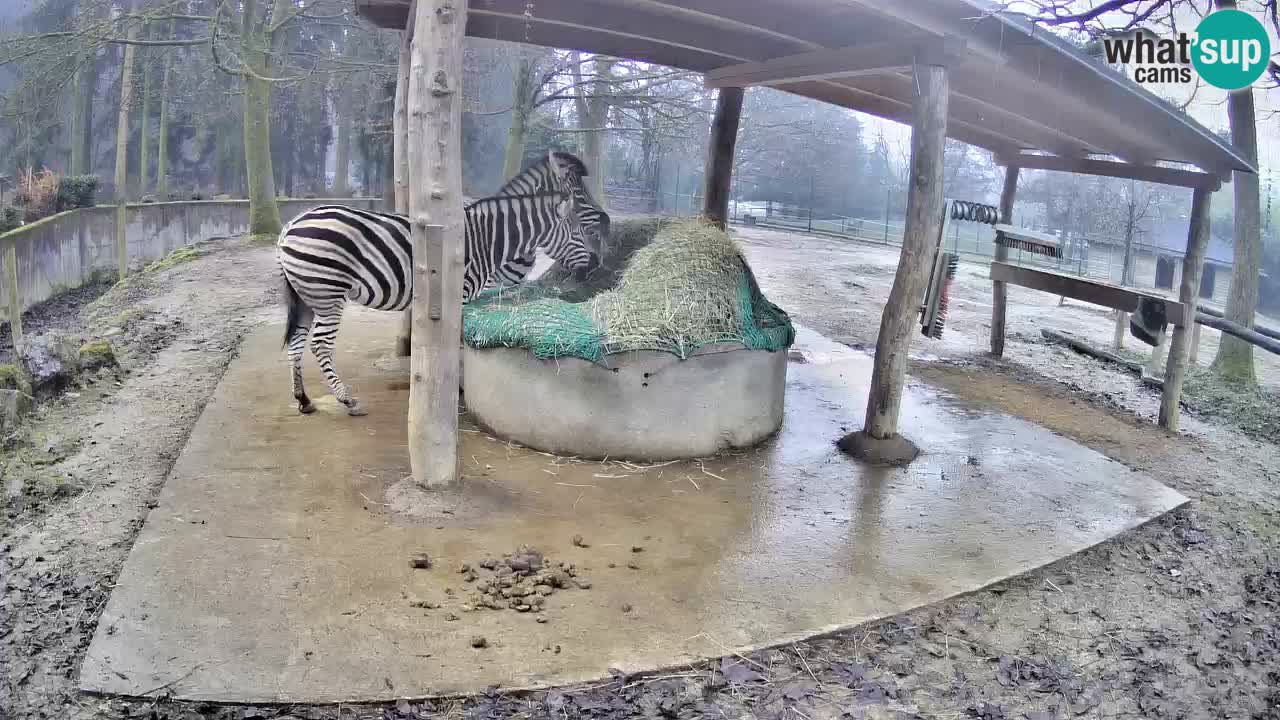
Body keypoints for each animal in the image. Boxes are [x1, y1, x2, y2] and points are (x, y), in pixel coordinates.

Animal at [277, 151, 608, 417]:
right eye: (580, 196)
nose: (595, 263)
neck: (490, 238)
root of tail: (290, 225)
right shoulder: (463, 292)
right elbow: (459, 339)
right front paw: (455, 385)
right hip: (328, 294)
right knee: (319, 345)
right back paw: (347, 400)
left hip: (307, 296)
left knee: (296, 343)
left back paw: (303, 400)